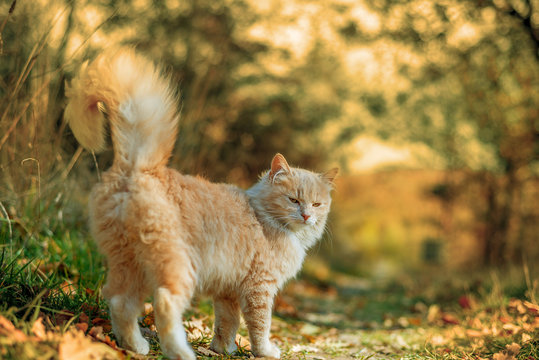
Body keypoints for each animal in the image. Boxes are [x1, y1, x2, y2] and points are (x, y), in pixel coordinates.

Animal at [64, 48, 338, 360]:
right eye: (293, 200)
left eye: (317, 204)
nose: (305, 216)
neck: (264, 217)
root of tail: (138, 166)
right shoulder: (259, 288)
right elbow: (260, 325)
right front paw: (264, 351)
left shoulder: (228, 291)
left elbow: (226, 323)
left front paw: (223, 349)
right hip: (175, 266)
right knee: (164, 303)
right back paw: (180, 352)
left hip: (129, 264)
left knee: (120, 302)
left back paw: (136, 346)